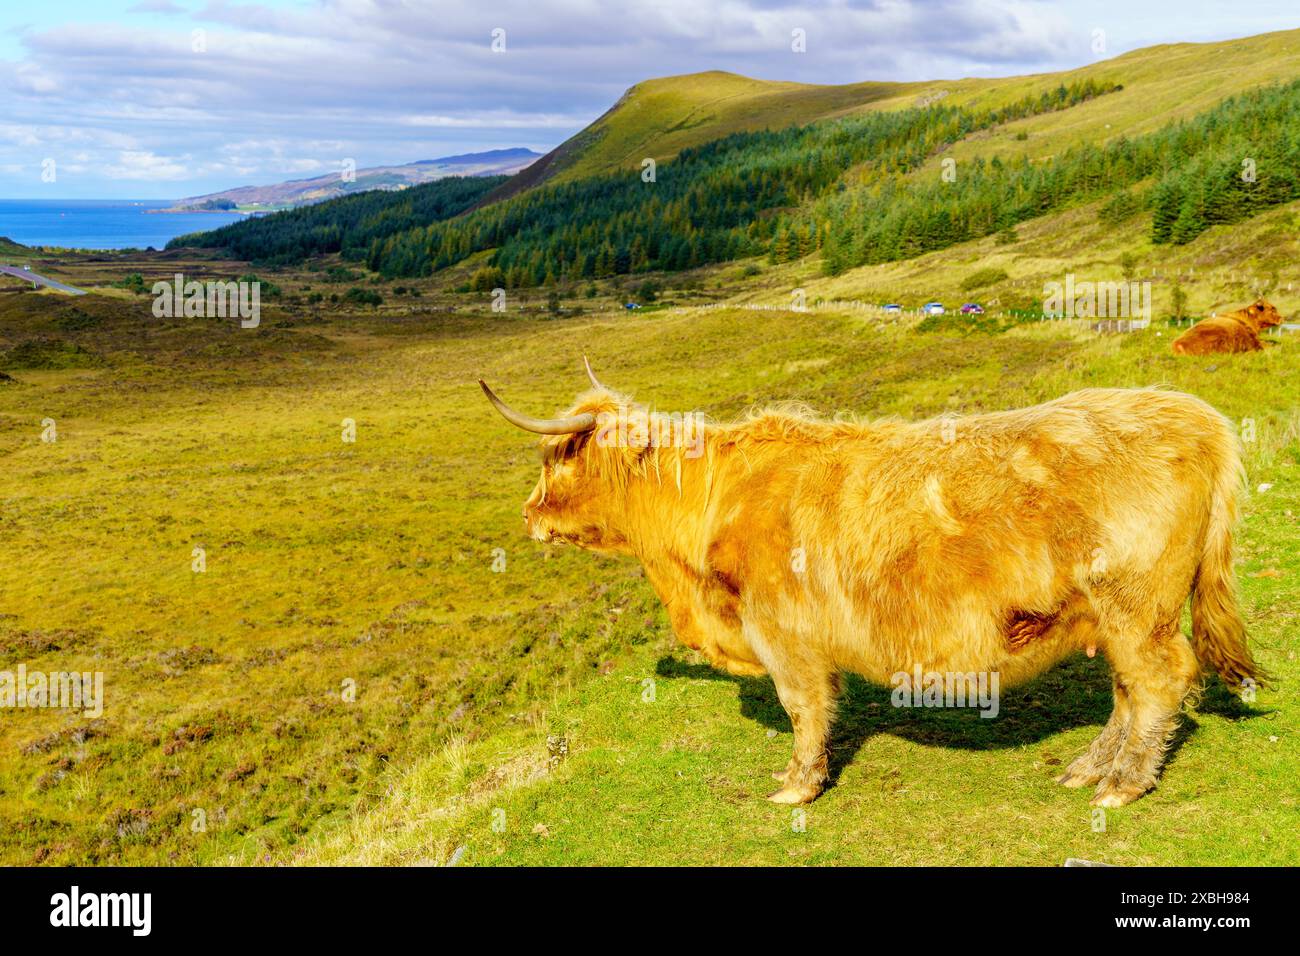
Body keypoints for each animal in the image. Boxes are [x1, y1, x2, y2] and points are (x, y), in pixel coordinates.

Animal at [480, 361, 1266, 808]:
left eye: (557, 457)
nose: (526, 514)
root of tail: (1198, 415)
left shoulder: (782, 632)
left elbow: (804, 709)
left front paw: (797, 787)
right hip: (1109, 615)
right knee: (1129, 692)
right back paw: (1089, 770)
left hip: (1138, 607)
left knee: (1160, 681)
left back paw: (1123, 787)